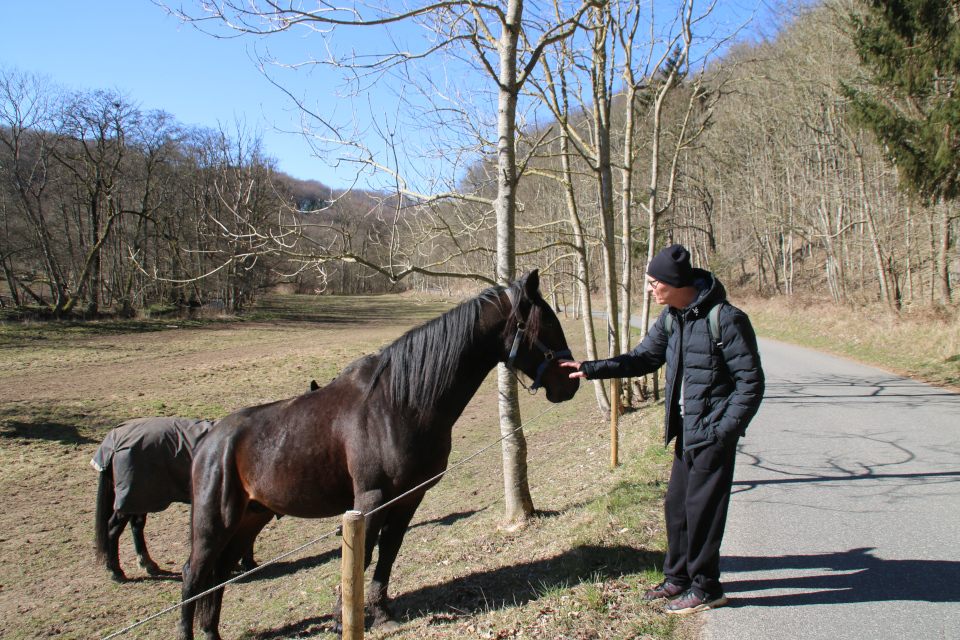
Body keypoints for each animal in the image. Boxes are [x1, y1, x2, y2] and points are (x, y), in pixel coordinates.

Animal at [176, 272, 576, 640]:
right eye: (548, 325)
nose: (570, 383)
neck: (400, 403)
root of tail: (210, 439)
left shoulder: (409, 497)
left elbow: (388, 553)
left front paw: (382, 614)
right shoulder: (371, 499)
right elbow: (362, 555)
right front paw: (343, 620)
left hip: (250, 518)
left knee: (218, 576)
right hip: (215, 522)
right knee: (193, 576)